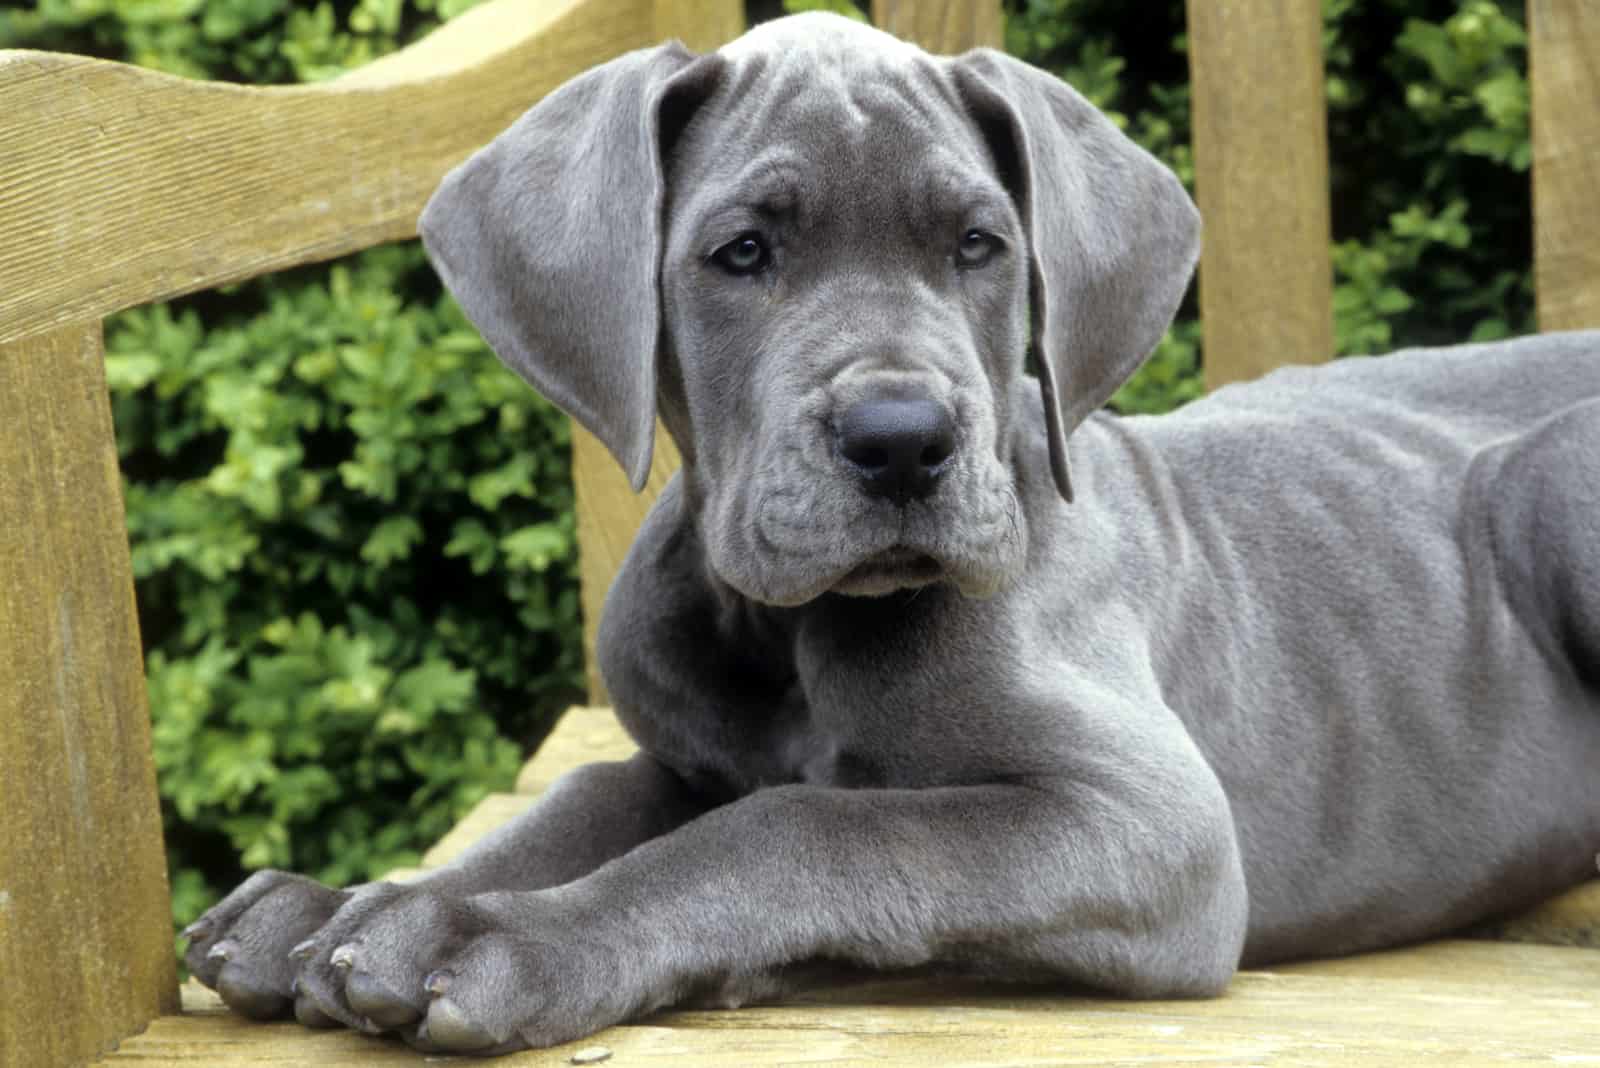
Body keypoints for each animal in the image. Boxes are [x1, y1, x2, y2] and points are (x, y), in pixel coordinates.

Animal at [181, 10, 1593, 1061]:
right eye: (741, 252)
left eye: (978, 245)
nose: (903, 440)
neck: (785, 637)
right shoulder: (683, 756)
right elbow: (593, 796)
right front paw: (352, 905)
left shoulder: (1155, 826)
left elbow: (808, 826)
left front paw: (502, 940)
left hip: (1557, 486)